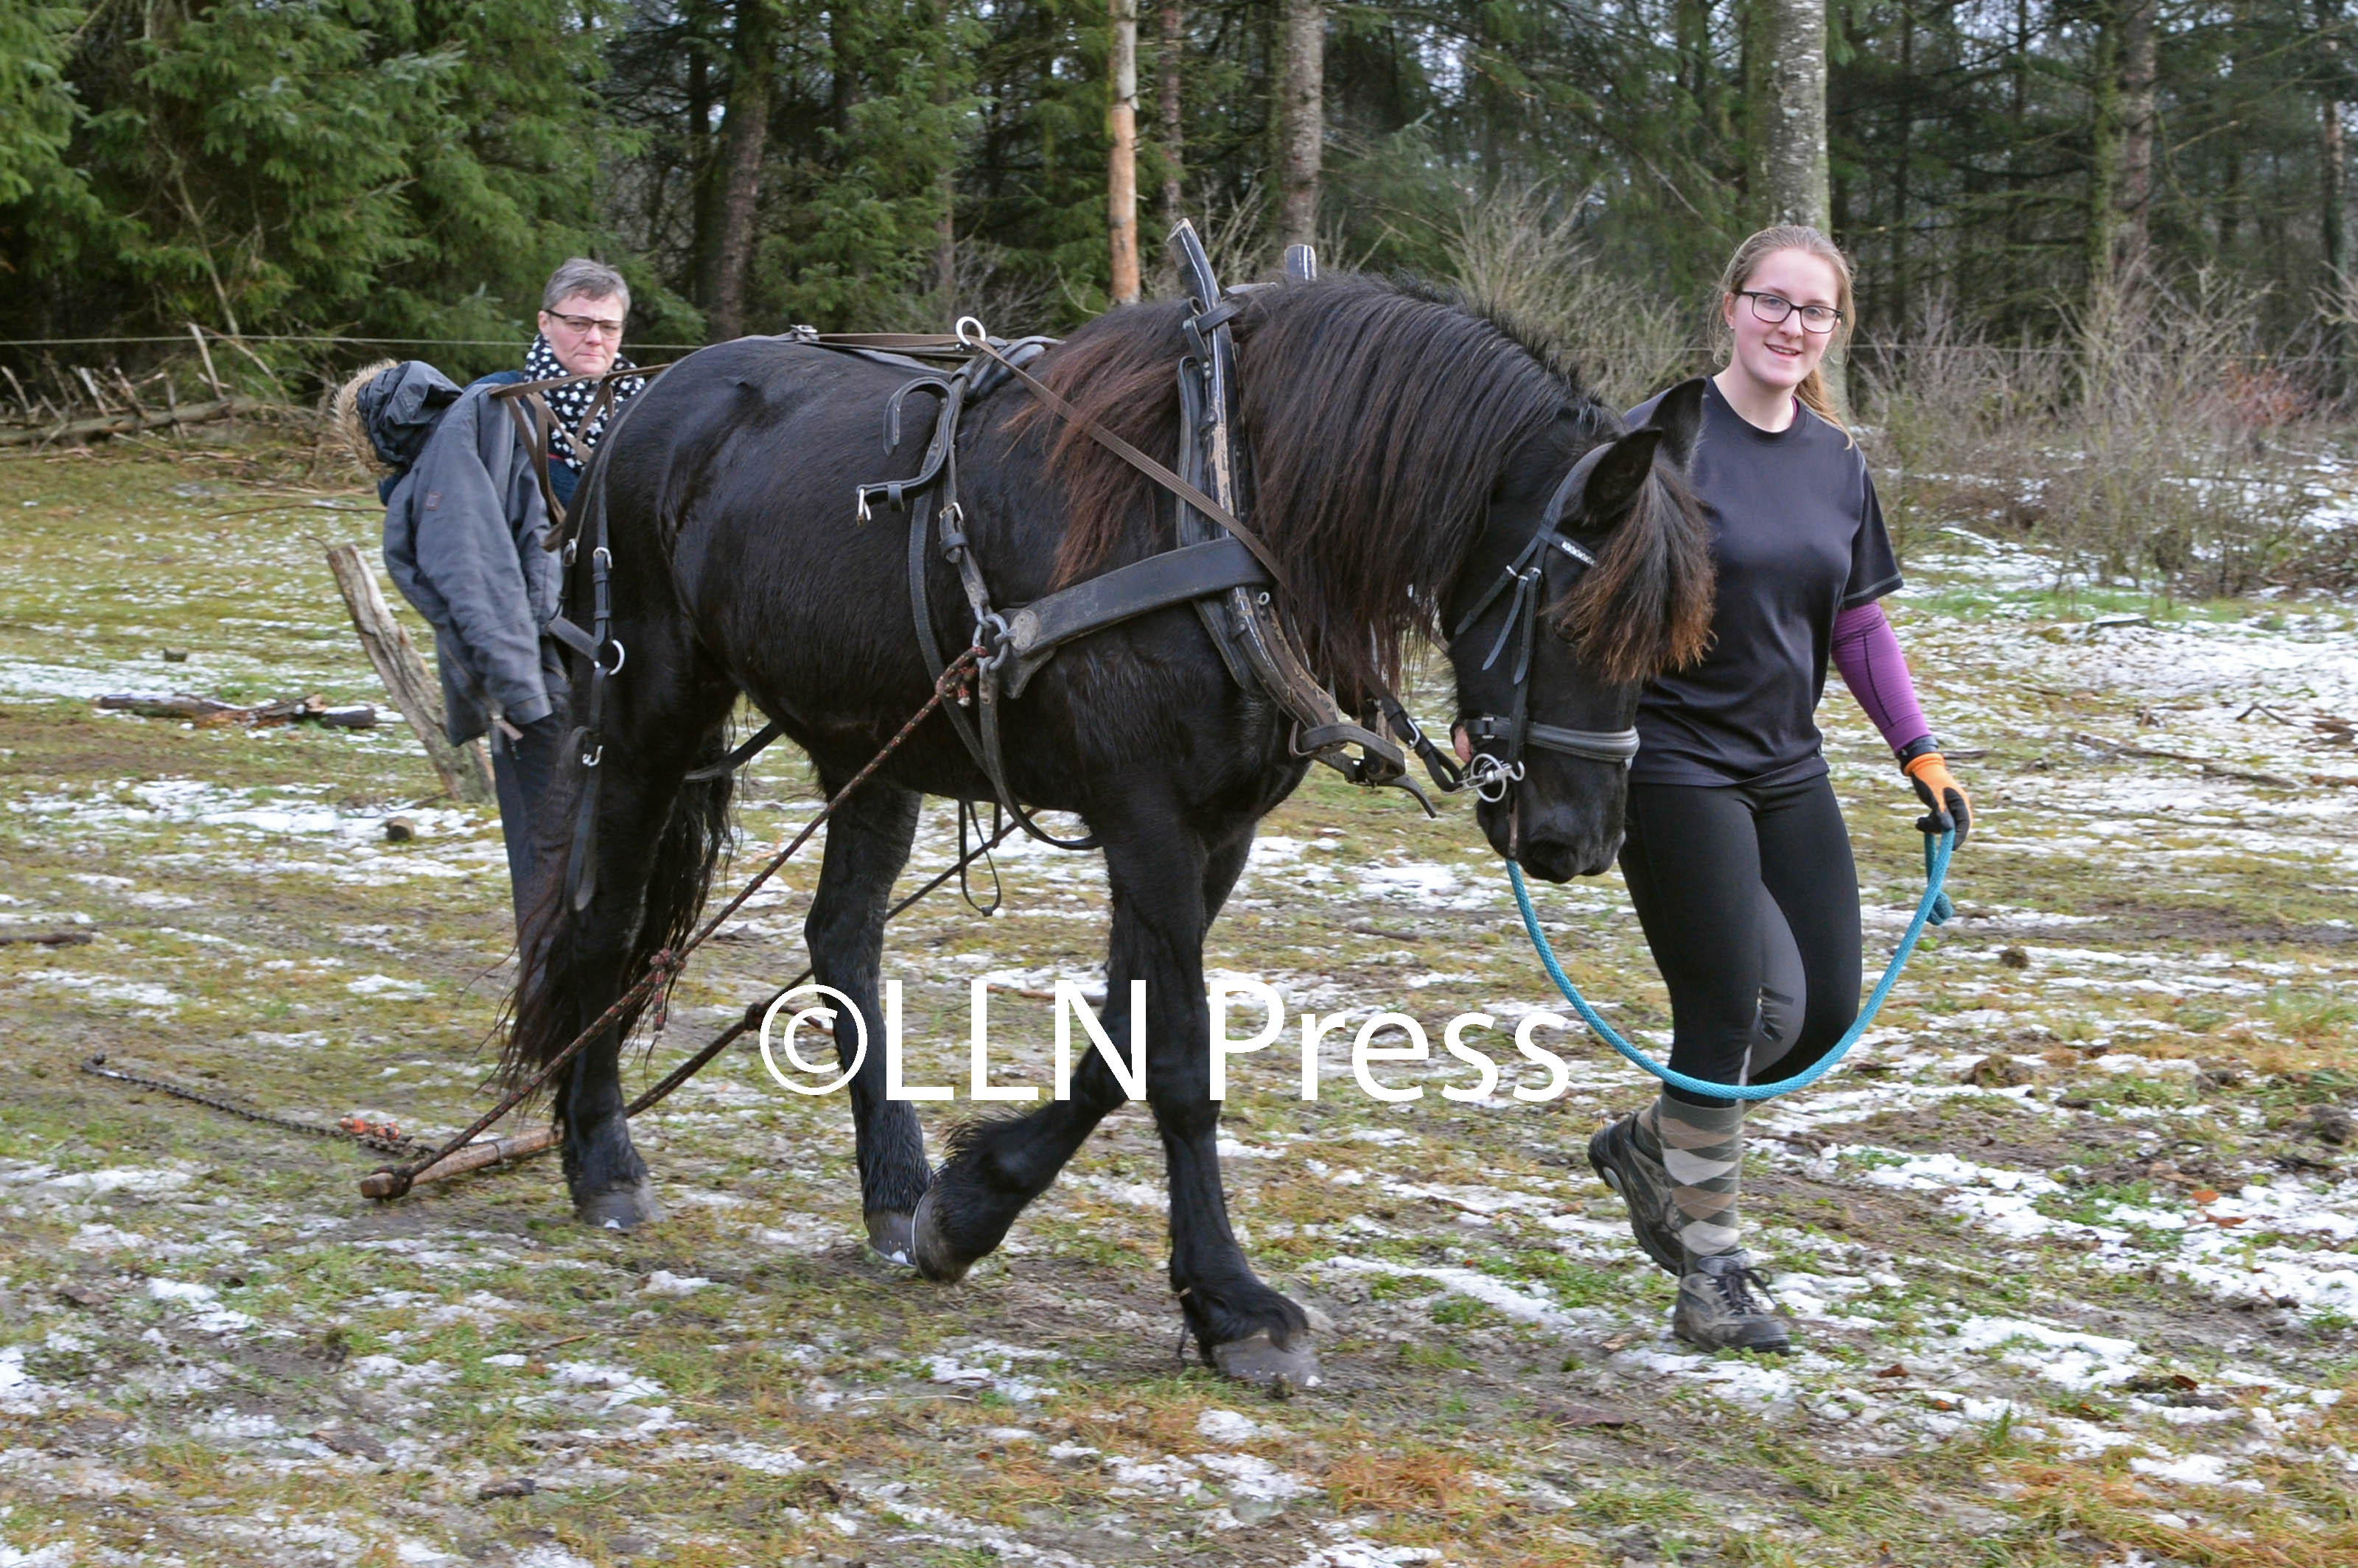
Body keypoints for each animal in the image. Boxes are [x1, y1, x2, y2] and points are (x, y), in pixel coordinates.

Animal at [507, 272, 1707, 1386]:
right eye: (1569, 611)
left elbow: (1120, 1036)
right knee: (607, 920)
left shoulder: (1215, 832)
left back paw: (894, 1187)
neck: (1229, 493)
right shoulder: (1147, 815)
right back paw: (600, 1154)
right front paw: (1232, 1303)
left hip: (875, 746)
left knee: (842, 941)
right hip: (652, 706)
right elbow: (1175, 1058)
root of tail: (651, 401)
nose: (1578, 842)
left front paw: (969, 1207)